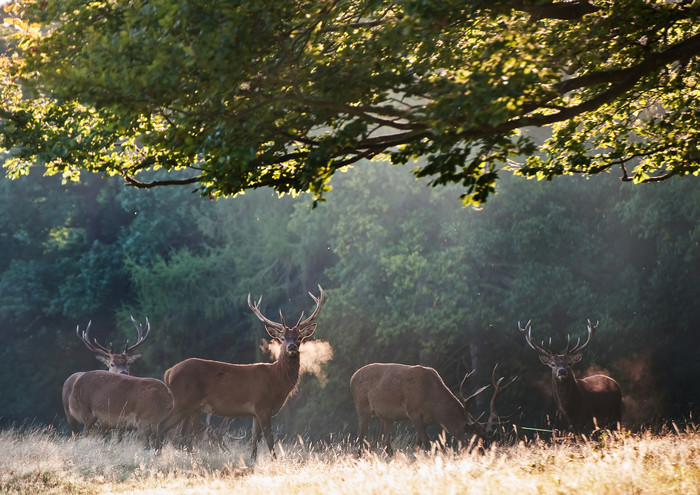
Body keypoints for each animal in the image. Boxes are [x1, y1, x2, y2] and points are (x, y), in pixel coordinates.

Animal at [157, 284, 324, 460]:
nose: (291, 346)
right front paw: (275, 460)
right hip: (182, 400)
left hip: (195, 407)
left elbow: (255, 438)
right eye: (282, 338)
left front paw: (253, 460)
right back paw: (158, 454)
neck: (277, 381)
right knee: (163, 425)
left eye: (299, 338)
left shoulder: (255, 412)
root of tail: (169, 372)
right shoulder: (262, 405)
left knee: (185, 433)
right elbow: (269, 439)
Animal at [348, 362, 516, 456]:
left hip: (387, 417)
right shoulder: (413, 413)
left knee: (384, 441)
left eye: (487, 441)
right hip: (362, 407)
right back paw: (358, 459)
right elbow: (428, 444)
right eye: (474, 443)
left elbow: (419, 445)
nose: (483, 458)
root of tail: (352, 377)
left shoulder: (426, 421)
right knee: (360, 437)